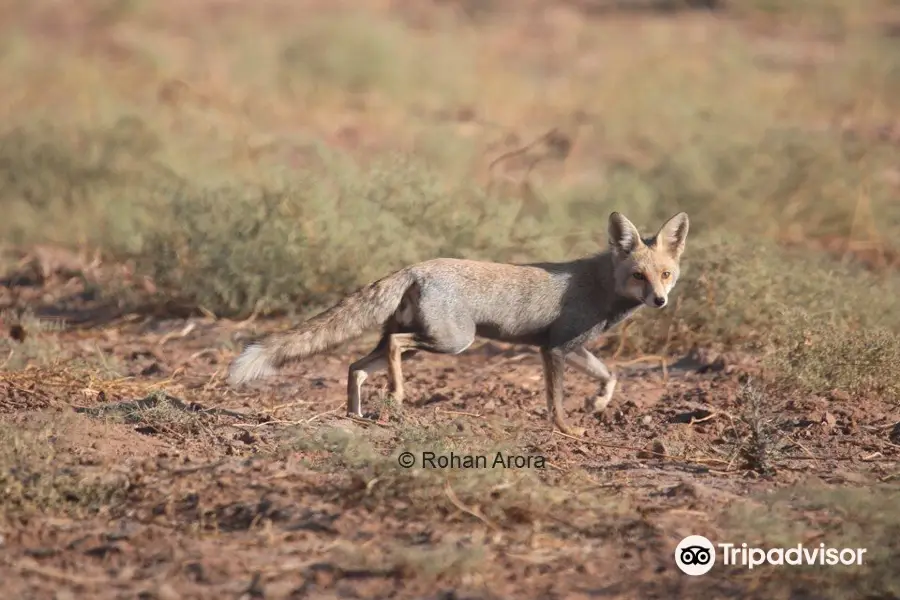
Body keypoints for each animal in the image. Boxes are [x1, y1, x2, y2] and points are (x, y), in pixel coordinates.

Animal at [230, 211, 688, 436]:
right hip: (453, 342)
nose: (660, 301)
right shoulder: (554, 349)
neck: (600, 286)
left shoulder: (572, 347)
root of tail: (415, 267)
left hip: (421, 342)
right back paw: (395, 396)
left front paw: (598, 403)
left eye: (665, 274)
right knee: (394, 346)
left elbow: (610, 375)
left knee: (355, 367)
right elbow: (556, 402)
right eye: (638, 276)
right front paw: (568, 430)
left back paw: (356, 416)